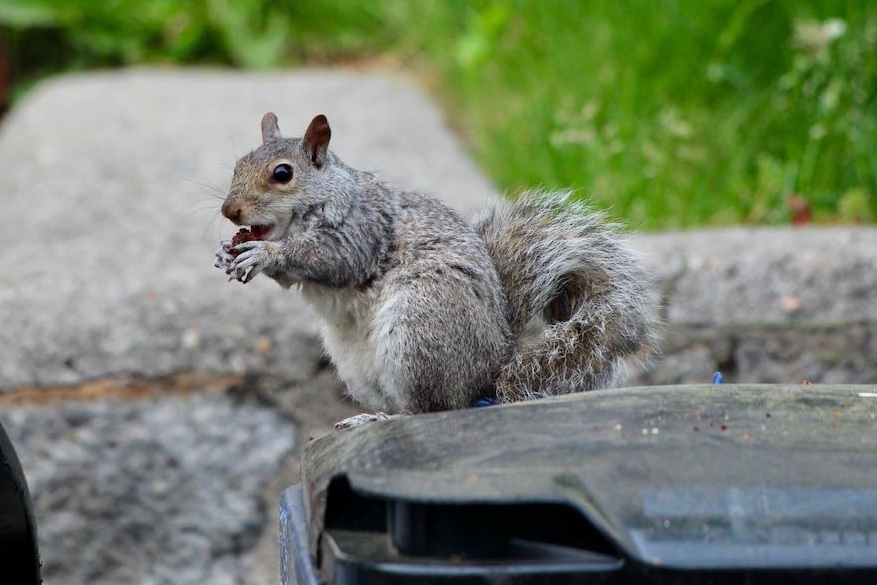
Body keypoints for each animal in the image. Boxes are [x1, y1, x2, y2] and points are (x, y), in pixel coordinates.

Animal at [214, 113, 659, 428]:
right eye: (237, 165)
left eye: (283, 173)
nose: (229, 210)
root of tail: (489, 369)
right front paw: (227, 254)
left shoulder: (362, 230)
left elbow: (332, 259)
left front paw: (265, 254)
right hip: (360, 363)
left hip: (420, 328)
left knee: (434, 408)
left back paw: (385, 417)